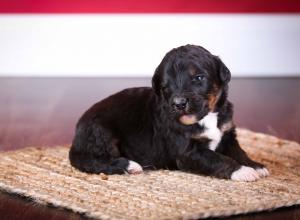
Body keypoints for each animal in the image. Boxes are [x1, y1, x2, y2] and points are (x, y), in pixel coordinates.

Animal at [68, 45, 270, 182]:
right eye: (166, 86)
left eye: (198, 78)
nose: (179, 103)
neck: (206, 118)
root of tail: (77, 133)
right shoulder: (187, 152)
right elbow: (216, 158)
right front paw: (243, 171)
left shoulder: (227, 133)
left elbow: (239, 151)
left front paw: (255, 165)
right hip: (102, 132)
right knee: (93, 160)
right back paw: (130, 165)